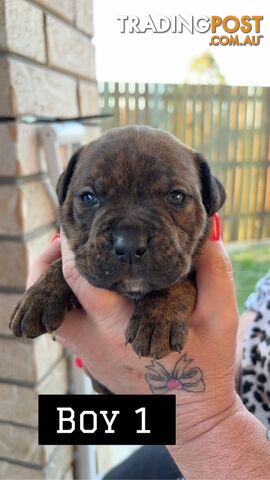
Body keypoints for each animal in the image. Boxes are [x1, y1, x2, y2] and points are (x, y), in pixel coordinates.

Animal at [8, 125, 226, 362]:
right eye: (88, 197)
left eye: (176, 197)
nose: (129, 244)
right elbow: (61, 263)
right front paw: (38, 296)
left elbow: (178, 282)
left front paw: (157, 318)